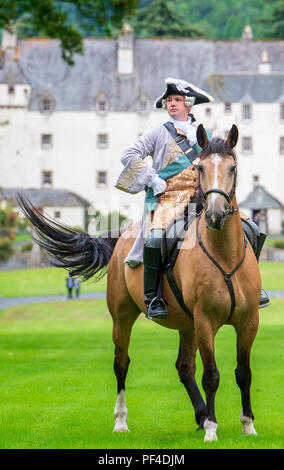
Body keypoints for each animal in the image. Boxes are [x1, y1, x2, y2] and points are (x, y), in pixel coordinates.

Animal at [17, 123, 260, 442]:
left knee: (184, 367)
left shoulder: (248, 322)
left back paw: (199, 414)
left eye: (233, 167)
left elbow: (243, 373)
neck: (224, 255)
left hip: (187, 324)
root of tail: (123, 235)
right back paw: (122, 421)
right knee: (121, 364)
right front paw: (212, 428)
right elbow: (212, 376)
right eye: (201, 168)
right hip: (124, 318)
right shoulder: (206, 322)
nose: (215, 215)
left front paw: (247, 424)